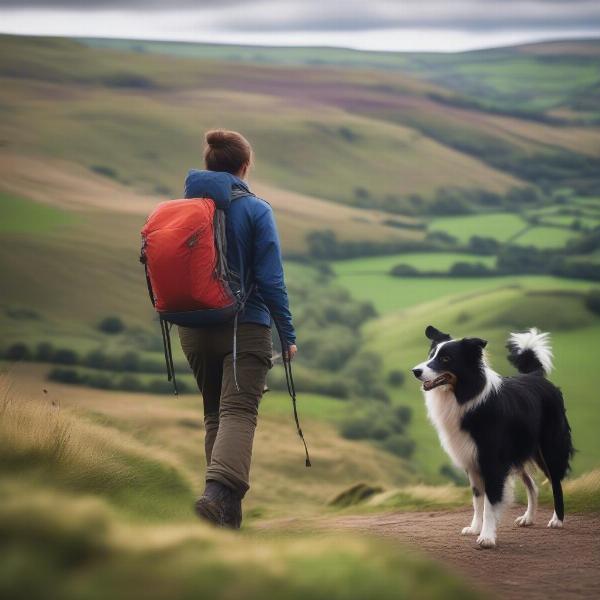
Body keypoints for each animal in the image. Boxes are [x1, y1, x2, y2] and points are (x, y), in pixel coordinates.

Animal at [412, 328, 572, 548]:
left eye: (445, 359)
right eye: (431, 355)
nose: (415, 371)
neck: (466, 395)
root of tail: (536, 375)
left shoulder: (492, 461)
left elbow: (490, 501)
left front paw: (487, 537)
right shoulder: (471, 461)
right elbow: (477, 499)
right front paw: (474, 528)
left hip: (549, 448)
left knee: (556, 482)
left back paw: (557, 520)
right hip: (518, 453)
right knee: (532, 485)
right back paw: (528, 518)